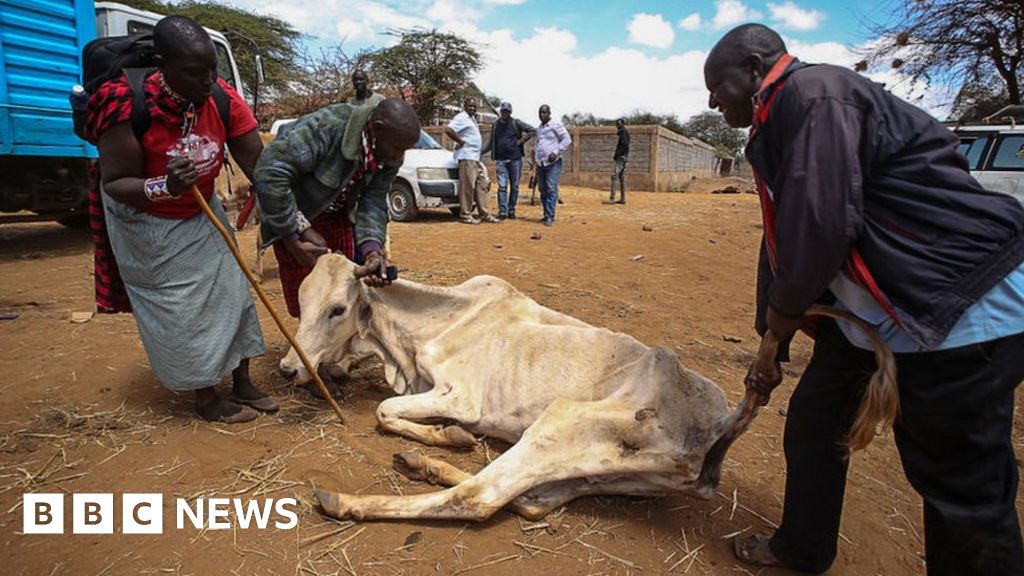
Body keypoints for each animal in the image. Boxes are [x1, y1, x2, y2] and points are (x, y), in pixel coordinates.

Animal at [280, 254, 897, 520]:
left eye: (338, 309)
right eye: (300, 300)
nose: (289, 369)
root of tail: (720, 424)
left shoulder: (460, 395)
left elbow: (385, 410)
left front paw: (452, 435)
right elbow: (392, 411)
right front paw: (447, 441)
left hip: (559, 422)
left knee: (482, 498)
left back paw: (349, 501)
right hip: (604, 473)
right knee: (529, 502)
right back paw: (421, 464)